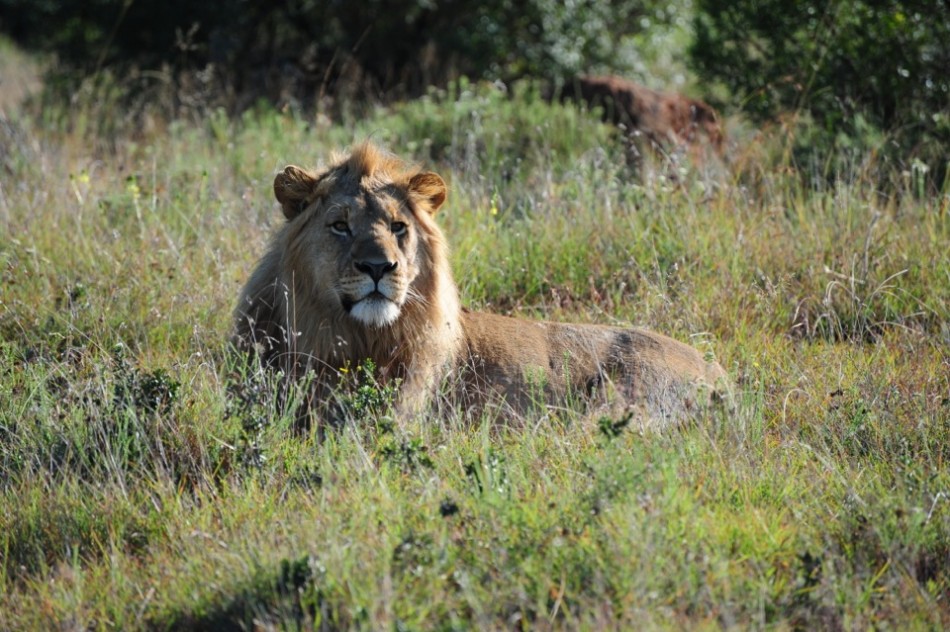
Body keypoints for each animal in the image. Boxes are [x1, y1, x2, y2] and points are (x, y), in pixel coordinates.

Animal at [234, 142, 728, 426]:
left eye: (397, 227)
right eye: (340, 225)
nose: (380, 267)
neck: (355, 337)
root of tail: (718, 372)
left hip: (621, 400)